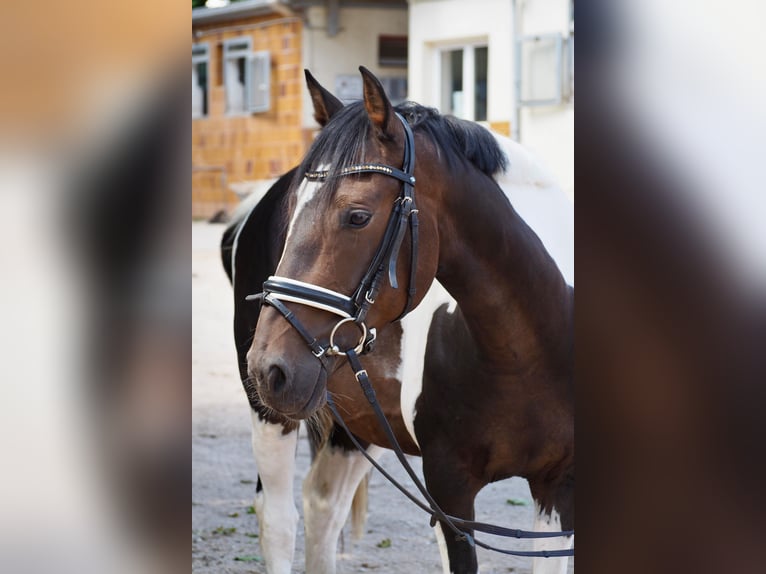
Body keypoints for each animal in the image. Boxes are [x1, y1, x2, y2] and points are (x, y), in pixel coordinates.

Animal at [246, 67, 574, 574]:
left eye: (358, 216)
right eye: (291, 212)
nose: (268, 368)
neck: (528, 353)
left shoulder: (559, 489)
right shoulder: (449, 493)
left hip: (359, 424)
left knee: (323, 506)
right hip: (272, 417)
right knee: (279, 519)